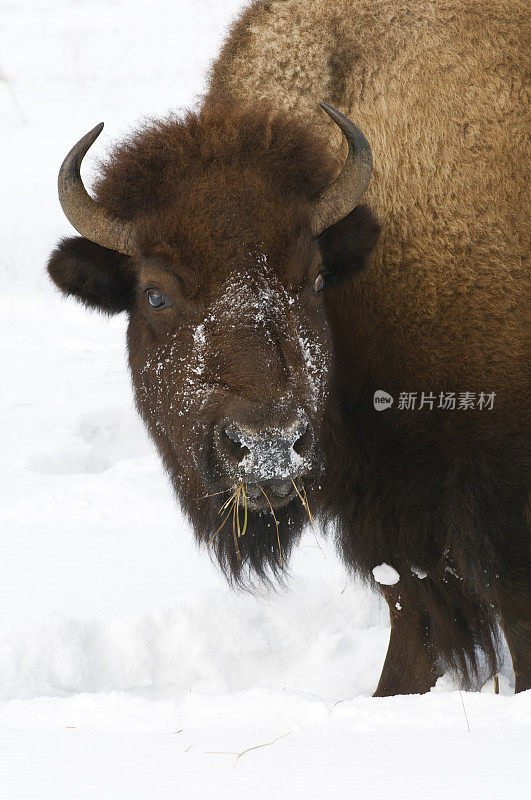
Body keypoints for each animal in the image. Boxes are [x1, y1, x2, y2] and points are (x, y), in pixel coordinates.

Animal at [47, 0, 528, 696]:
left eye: (314, 277)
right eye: (154, 294)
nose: (268, 446)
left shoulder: (495, 503)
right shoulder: (387, 513)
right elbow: (409, 618)